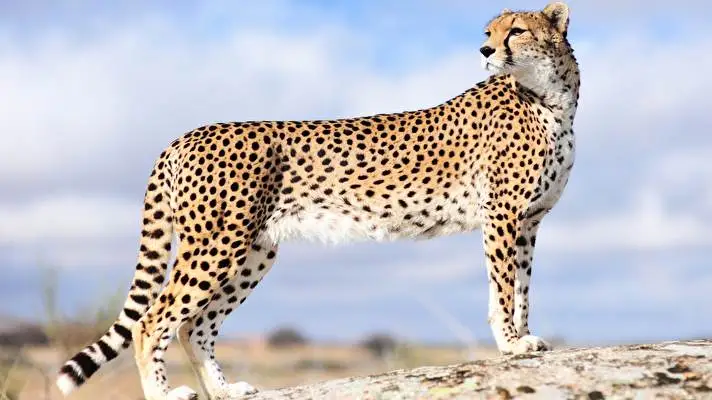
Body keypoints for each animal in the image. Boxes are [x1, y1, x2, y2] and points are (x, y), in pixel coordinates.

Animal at [56, 3, 579, 399]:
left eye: (516, 30)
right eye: (489, 32)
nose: (485, 50)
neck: (551, 98)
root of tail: (186, 135)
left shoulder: (529, 221)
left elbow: (521, 288)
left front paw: (524, 340)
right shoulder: (503, 216)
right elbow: (504, 288)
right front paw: (510, 344)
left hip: (254, 250)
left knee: (194, 326)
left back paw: (224, 390)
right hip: (217, 244)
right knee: (152, 322)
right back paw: (165, 394)